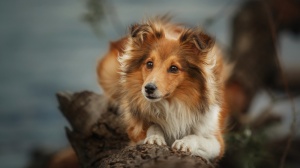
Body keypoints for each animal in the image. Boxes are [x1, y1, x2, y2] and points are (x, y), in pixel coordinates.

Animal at [97, 17, 226, 161]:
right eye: (149, 63)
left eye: (174, 68)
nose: (148, 88)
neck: (172, 103)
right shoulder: (135, 131)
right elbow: (153, 125)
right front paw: (155, 137)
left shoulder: (217, 141)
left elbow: (198, 138)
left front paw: (184, 142)